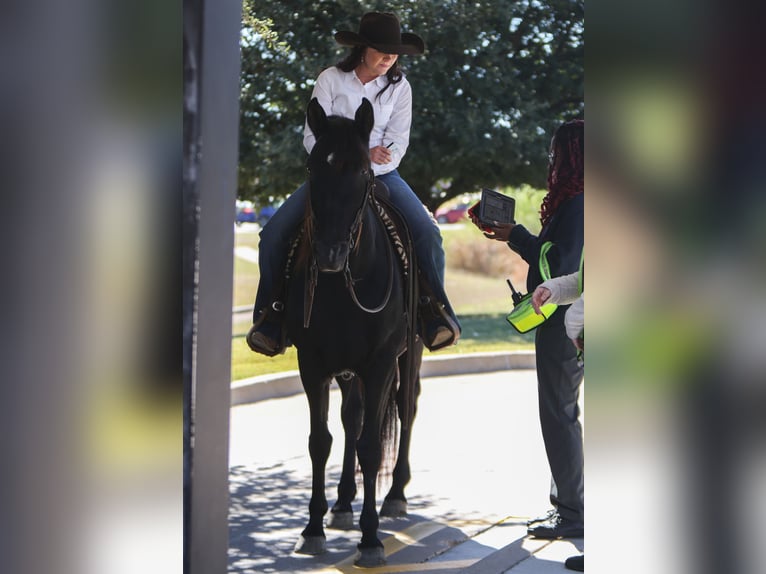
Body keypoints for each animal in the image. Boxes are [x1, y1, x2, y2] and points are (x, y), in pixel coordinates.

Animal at [284, 97, 423, 567]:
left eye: (364, 171)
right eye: (313, 169)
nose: (329, 254)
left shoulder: (380, 363)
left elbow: (371, 445)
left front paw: (371, 539)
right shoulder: (312, 363)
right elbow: (320, 441)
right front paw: (312, 528)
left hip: (407, 357)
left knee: (405, 408)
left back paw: (395, 494)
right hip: (348, 371)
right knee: (353, 416)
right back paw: (343, 503)